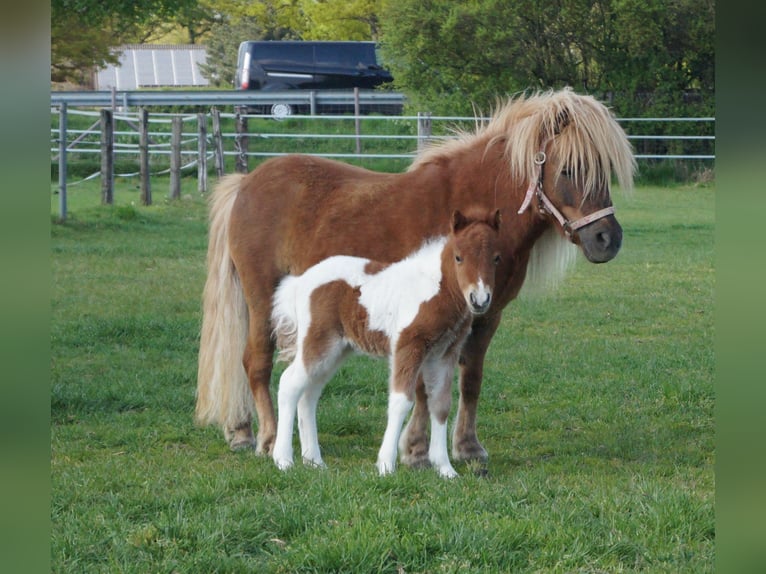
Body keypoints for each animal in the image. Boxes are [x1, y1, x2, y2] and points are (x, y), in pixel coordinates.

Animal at [270, 209, 504, 480]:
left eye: (496, 258)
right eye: (459, 257)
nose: (479, 300)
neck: (435, 290)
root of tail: (299, 282)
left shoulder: (444, 353)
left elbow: (440, 404)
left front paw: (446, 469)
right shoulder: (408, 347)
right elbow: (402, 401)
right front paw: (386, 465)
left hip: (336, 350)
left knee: (309, 393)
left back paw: (314, 461)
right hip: (318, 342)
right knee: (289, 384)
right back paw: (283, 460)